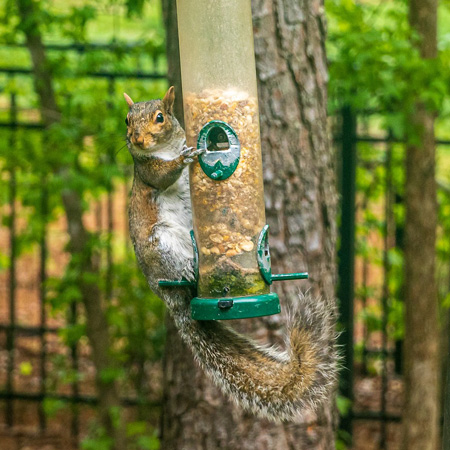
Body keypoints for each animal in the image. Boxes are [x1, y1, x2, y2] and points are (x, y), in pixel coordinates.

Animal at [123, 87, 338, 422]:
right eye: (127, 120)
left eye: (159, 117)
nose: (136, 139)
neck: (163, 149)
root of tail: (165, 294)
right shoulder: (146, 170)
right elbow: (162, 176)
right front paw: (185, 158)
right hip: (161, 244)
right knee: (176, 270)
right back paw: (185, 271)